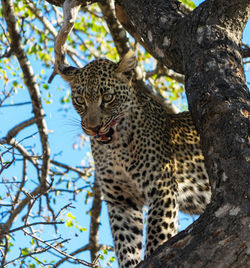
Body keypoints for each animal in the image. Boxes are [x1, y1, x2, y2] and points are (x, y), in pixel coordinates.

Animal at [58, 52, 211, 268]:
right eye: (80, 100)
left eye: (108, 97)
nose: (94, 128)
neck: (115, 149)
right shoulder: (121, 201)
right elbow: (126, 244)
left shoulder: (162, 190)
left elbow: (157, 236)